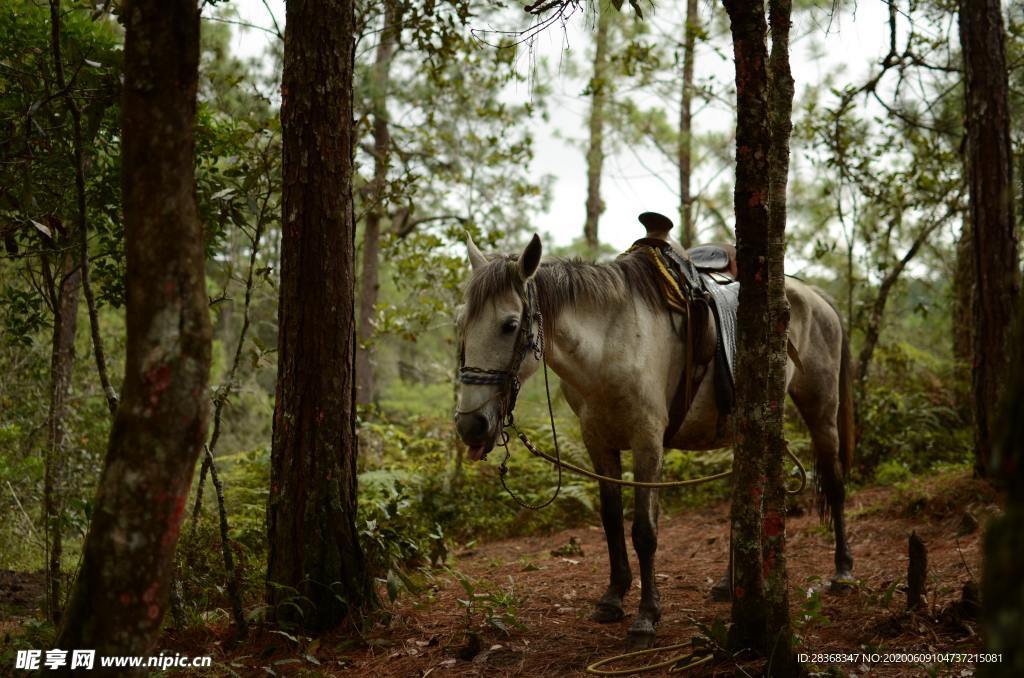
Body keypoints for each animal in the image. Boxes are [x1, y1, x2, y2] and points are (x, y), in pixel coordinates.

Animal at [454, 231, 855, 648]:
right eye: (461, 324)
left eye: (509, 324)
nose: (471, 425)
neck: (610, 345)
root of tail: (813, 294)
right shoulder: (598, 443)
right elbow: (612, 521)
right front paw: (613, 597)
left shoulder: (647, 441)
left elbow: (644, 531)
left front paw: (646, 616)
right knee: (744, 503)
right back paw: (730, 584)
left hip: (821, 409)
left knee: (835, 484)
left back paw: (843, 572)